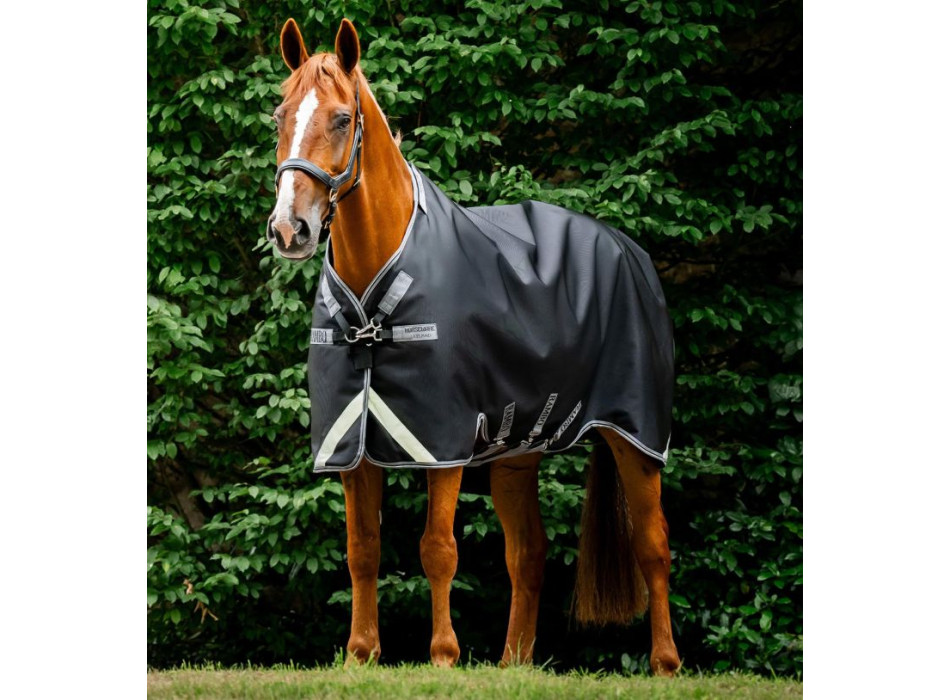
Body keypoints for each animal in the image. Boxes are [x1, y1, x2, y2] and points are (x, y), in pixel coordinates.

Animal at [264, 18, 682, 676]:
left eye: (340, 118)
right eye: (280, 115)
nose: (289, 229)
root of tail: (628, 250)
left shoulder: (443, 443)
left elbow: (438, 549)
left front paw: (442, 656)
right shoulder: (352, 446)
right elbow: (362, 549)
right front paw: (360, 655)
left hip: (634, 434)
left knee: (653, 543)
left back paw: (665, 662)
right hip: (518, 449)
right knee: (528, 553)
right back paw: (514, 666)